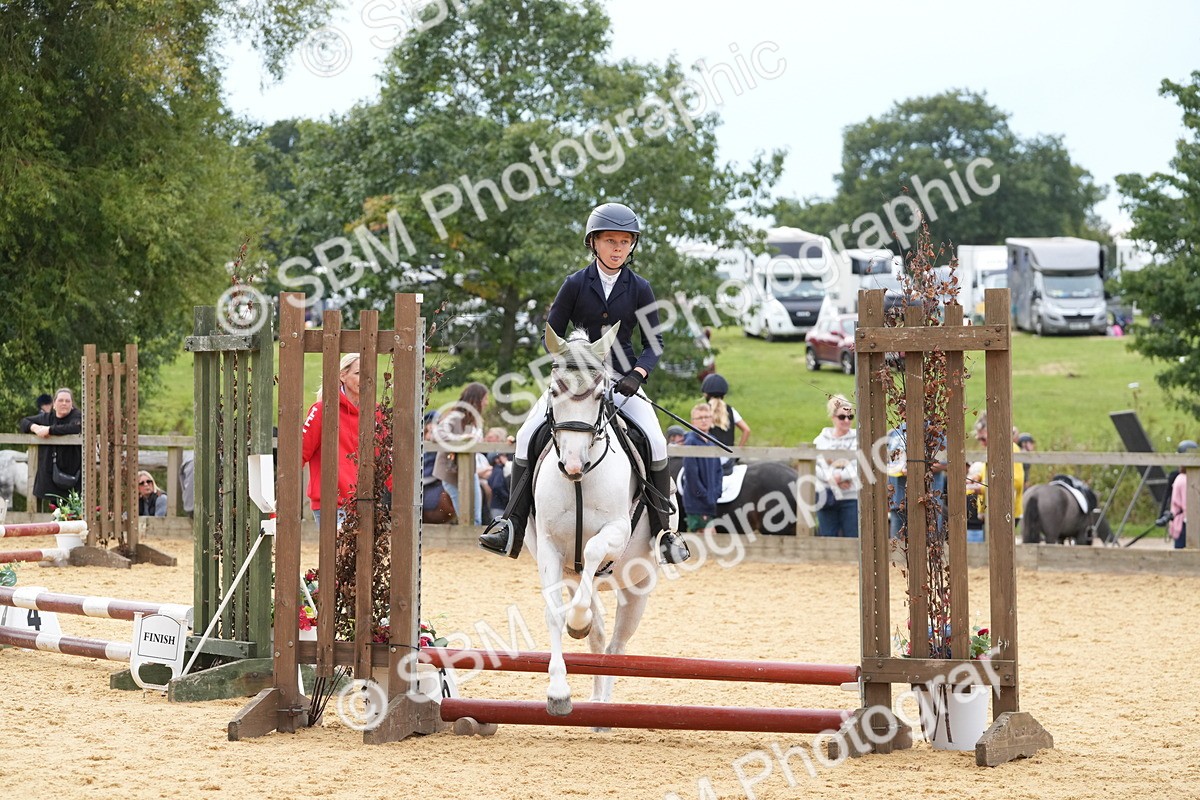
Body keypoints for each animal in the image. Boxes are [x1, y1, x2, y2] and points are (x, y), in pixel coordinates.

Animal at [525, 323, 674, 718]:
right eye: (554, 390)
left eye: (597, 394)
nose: (573, 465)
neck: (581, 480)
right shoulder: (548, 545)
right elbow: (554, 614)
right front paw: (558, 692)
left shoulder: (617, 531)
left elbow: (592, 550)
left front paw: (578, 622)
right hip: (574, 576)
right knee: (599, 633)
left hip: (638, 586)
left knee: (617, 646)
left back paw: (605, 710)